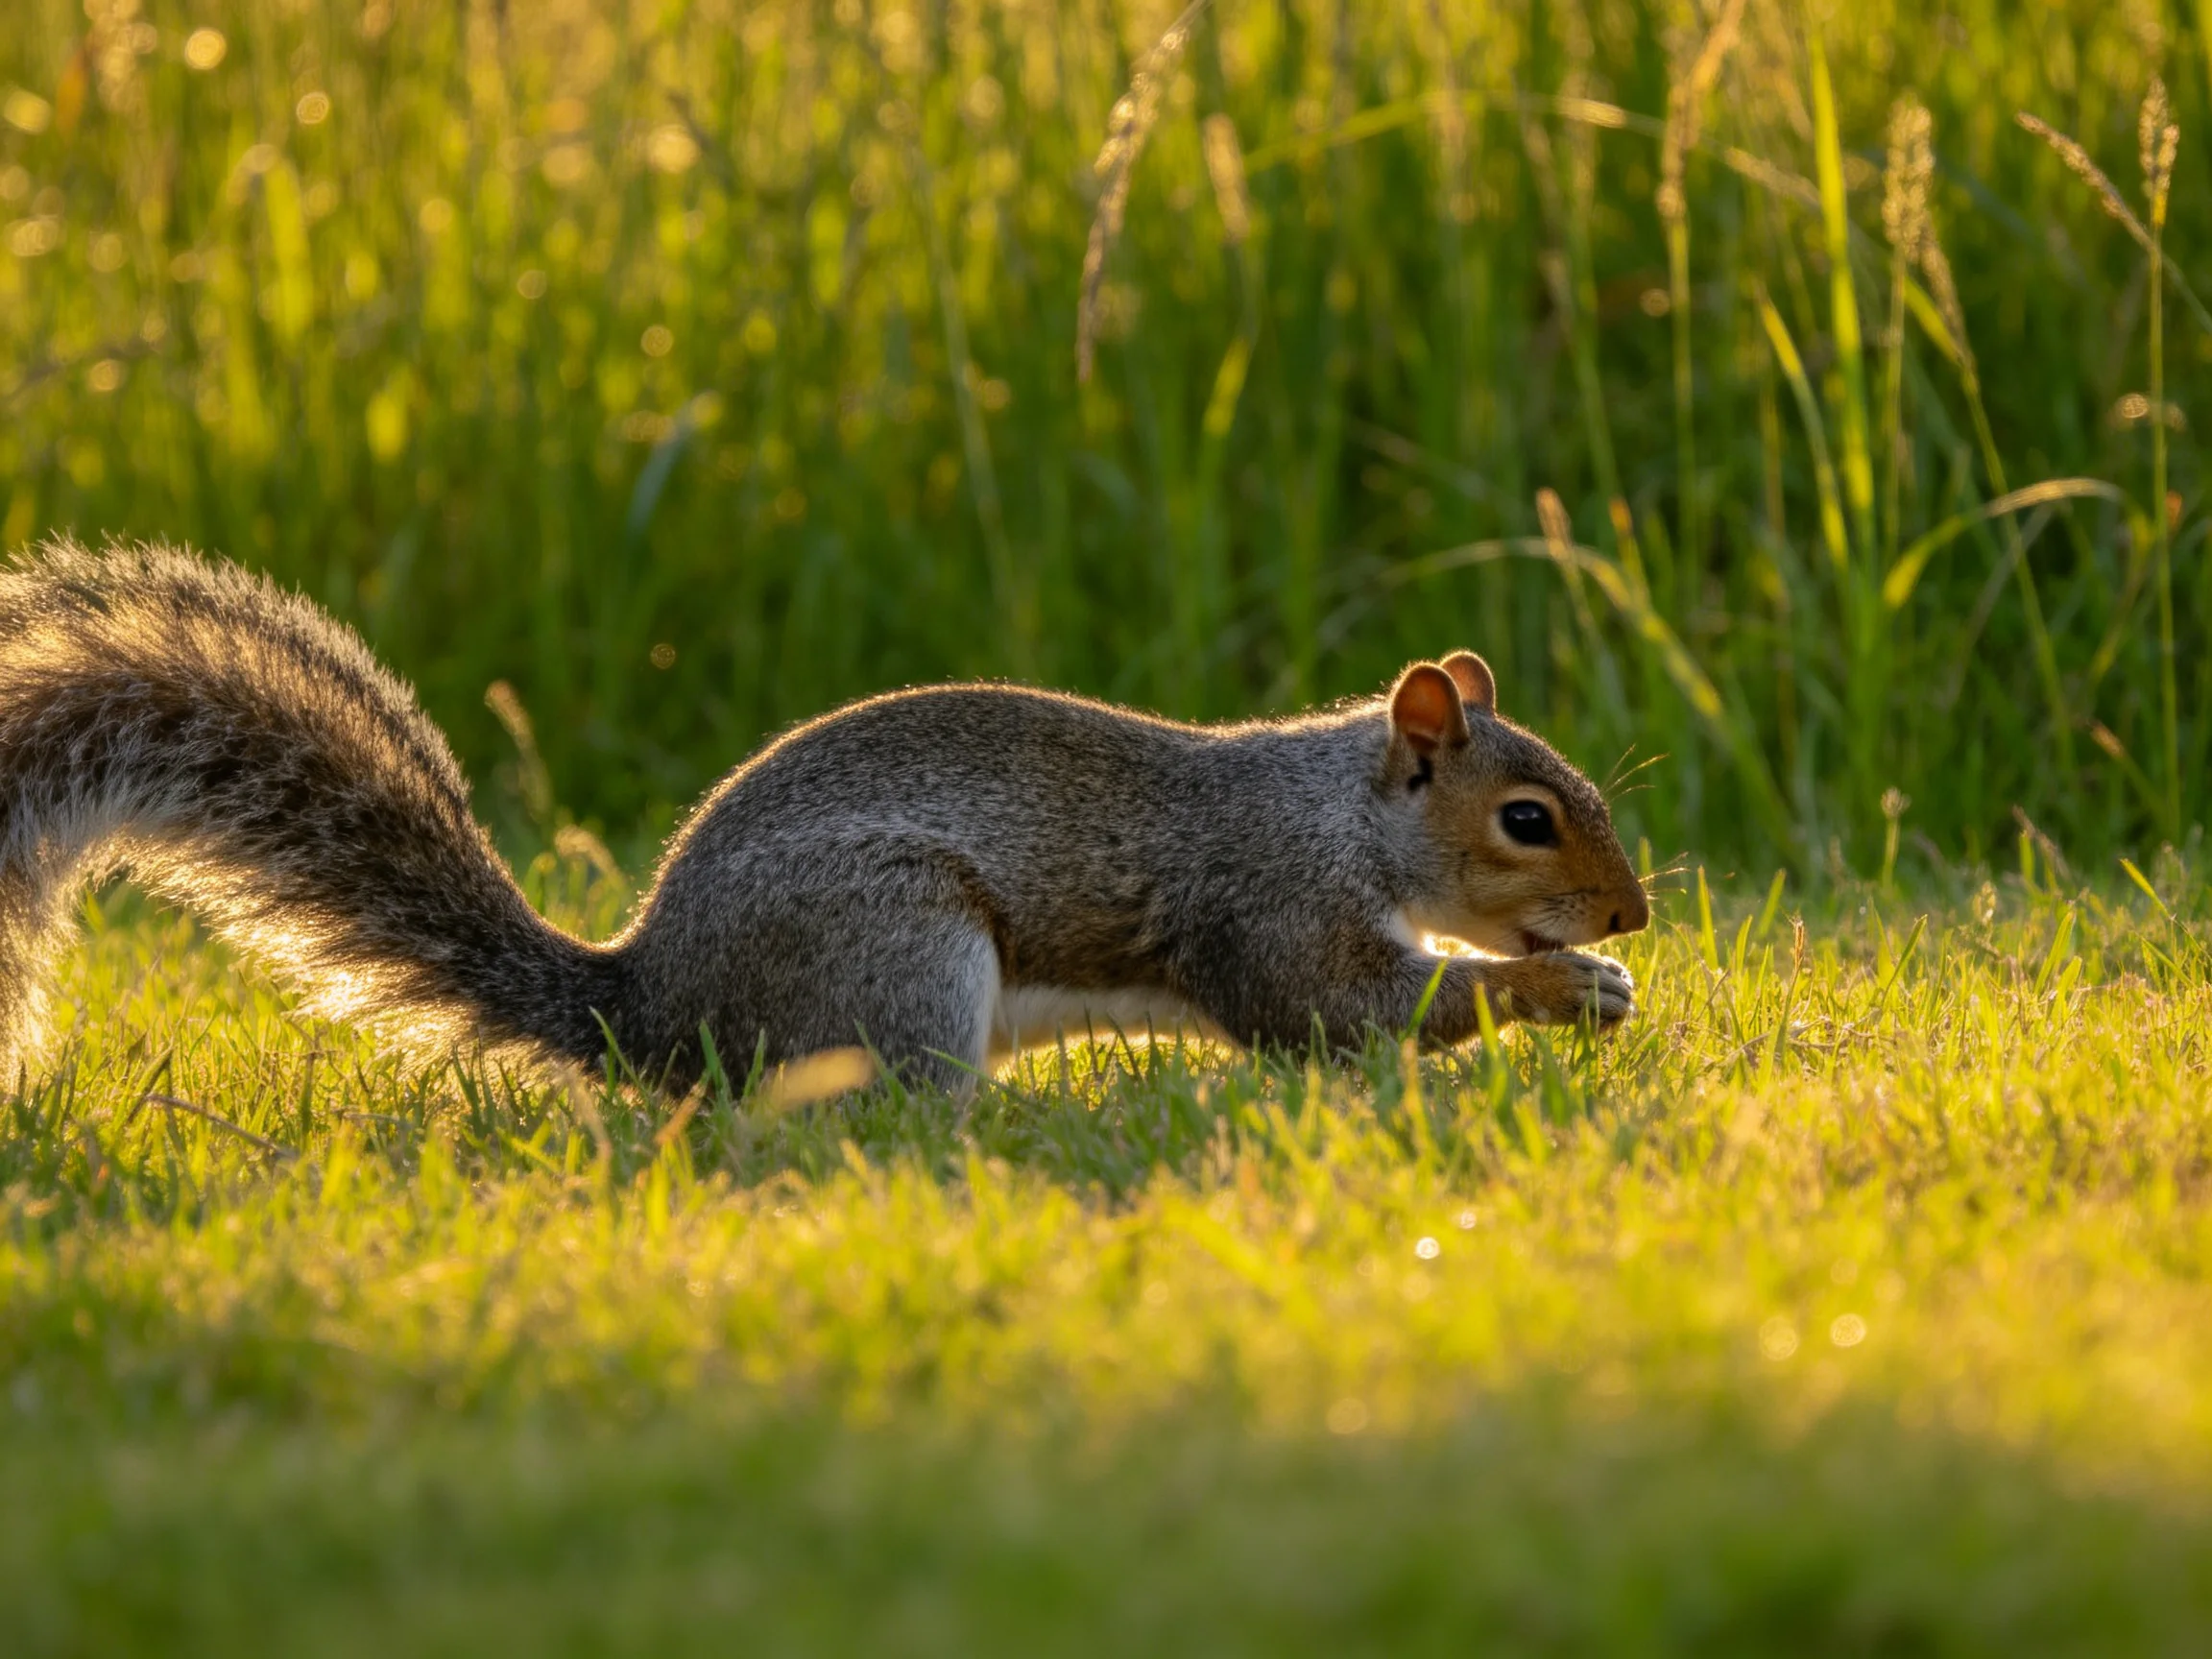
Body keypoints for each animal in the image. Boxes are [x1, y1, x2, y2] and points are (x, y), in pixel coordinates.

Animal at [0, 539, 1648, 1095]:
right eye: (1527, 819)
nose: (1636, 911)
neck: (1338, 811)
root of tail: (652, 1008)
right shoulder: (1273, 904)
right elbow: (1344, 1014)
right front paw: (1564, 985)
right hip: (897, 946)